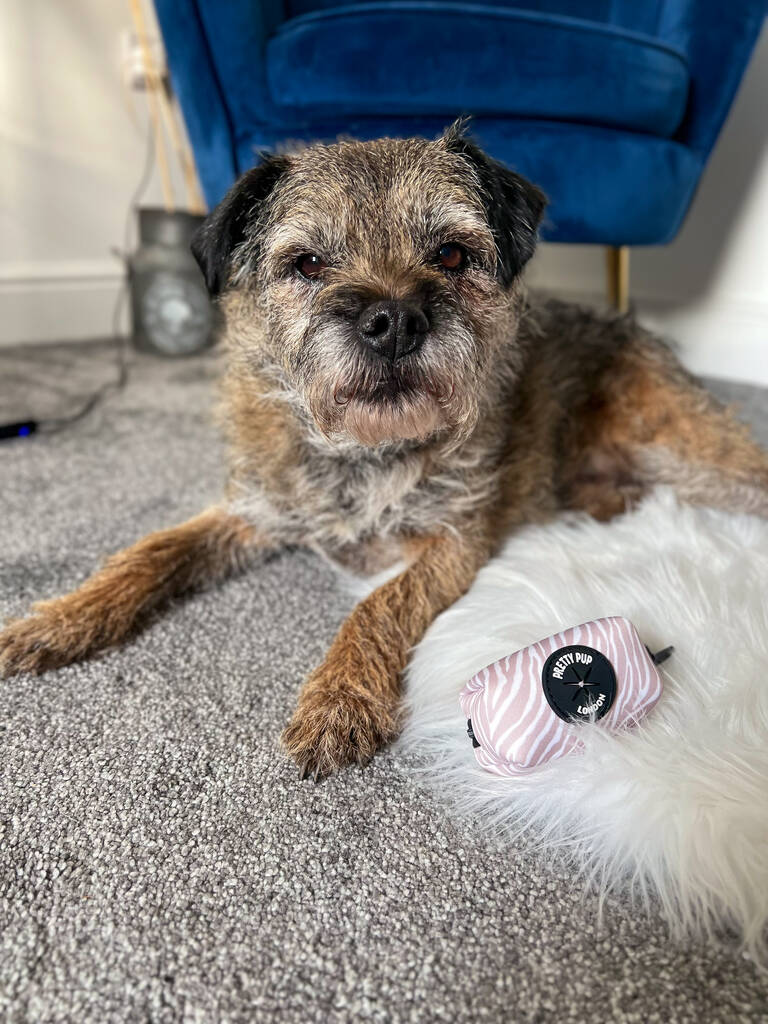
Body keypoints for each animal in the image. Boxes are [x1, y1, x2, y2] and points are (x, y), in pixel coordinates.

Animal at [1, 123, 768, 774]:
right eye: (308, 263)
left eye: (452, 254)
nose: (394, 319)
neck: (359, 448)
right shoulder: (252, 512)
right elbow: (150, 552)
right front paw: (62, 618)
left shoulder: (453, 541)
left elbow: (376, 605)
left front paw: (339, 697)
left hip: (689, 445)